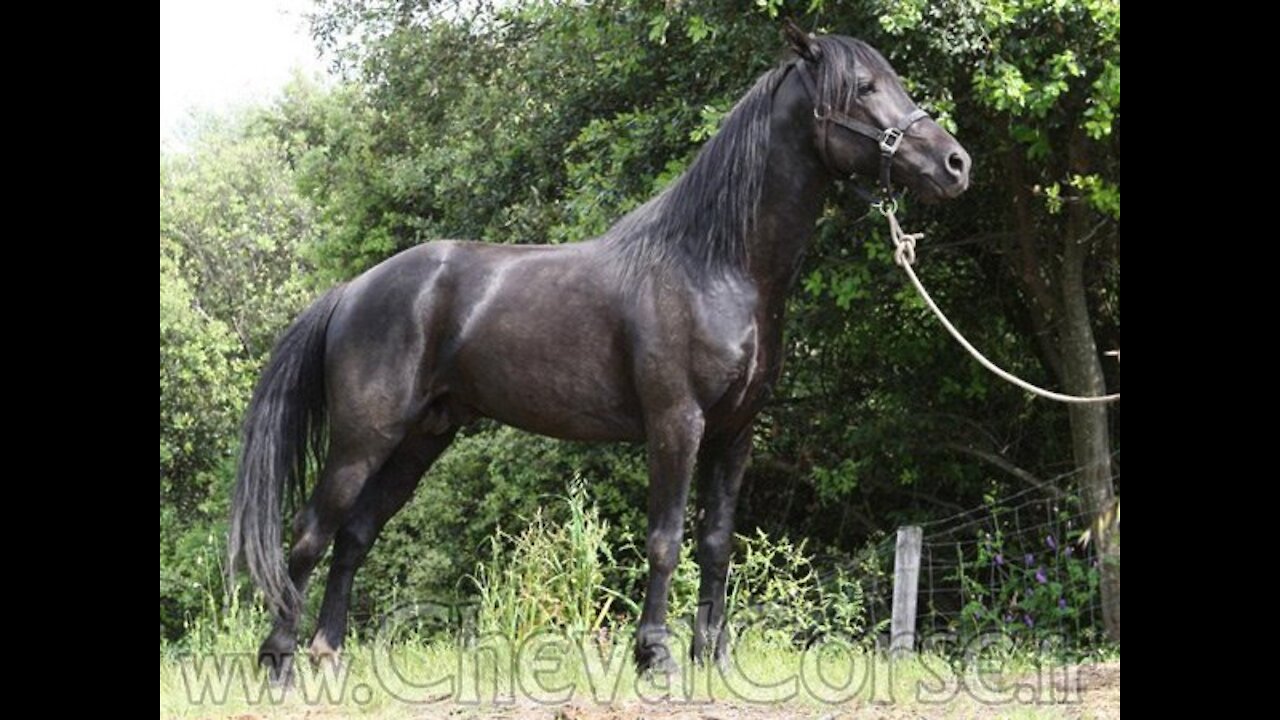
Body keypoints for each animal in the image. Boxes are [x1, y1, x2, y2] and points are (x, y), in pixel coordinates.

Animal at [230, 29, 967, 676]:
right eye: (865, 89)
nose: (955, 164)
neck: (715, 264)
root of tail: (353, 289)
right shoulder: (676, 423)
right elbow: (666, 542)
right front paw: (656, 657)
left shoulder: (736, 432)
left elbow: (716, 544)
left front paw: (714, 659)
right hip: (364, 438)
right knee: (310, 533)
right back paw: (278, 660)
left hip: (422, 437)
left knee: (355, 534)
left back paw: (327, 655)